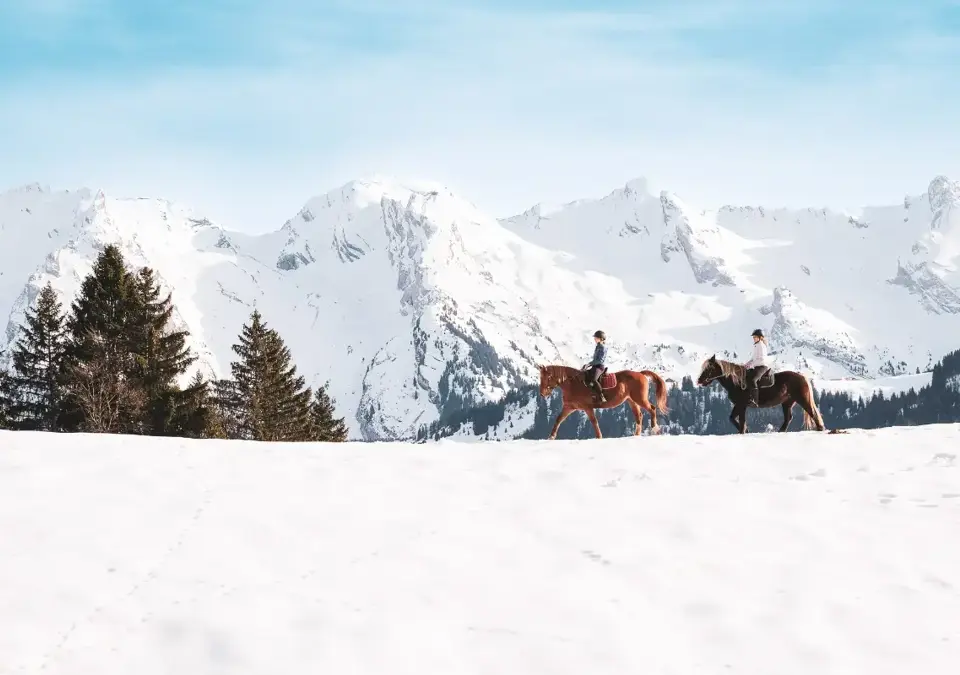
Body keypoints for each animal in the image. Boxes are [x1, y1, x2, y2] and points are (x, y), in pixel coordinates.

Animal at [537, 365, 669, 439]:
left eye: (548, 377)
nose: (542, 394)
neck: (573, 384)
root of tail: (640, 374)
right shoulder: (569, 407)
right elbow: (558, 420)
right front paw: (551, 436)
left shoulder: (587, 407)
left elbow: (594, 421)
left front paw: (599, 437)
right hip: (632, 401)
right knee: (639, 416)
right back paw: (636, 435)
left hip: (639, 399)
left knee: (652, 409)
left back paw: (655, 428)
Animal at [695, 355, 825, 434]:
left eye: (709, 368)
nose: (699, 381)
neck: (737, 382)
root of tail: (802, 376)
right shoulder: (738, 405)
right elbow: (732, 418)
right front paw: (746, 431)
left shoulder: (742, 405)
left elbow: (741, 421)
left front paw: (743, 431)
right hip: (787, 403)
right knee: (788, 418)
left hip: (802, 399)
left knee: (813, 413)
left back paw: (821, 429)